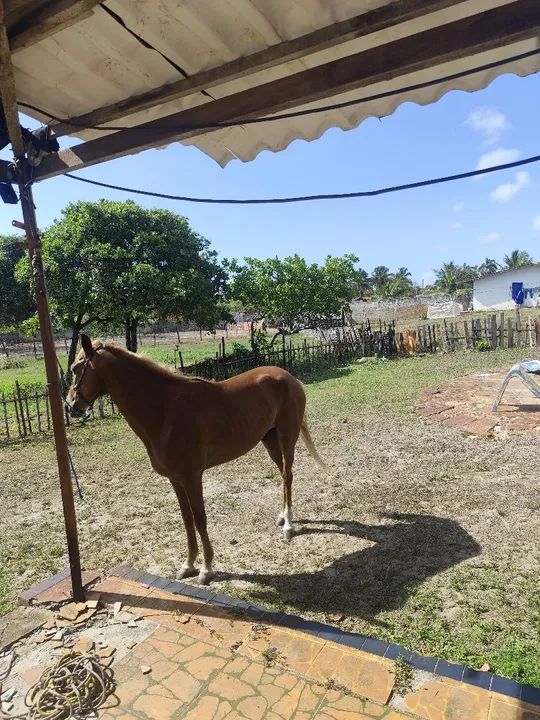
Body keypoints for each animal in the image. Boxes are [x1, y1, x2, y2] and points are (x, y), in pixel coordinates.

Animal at [66, 334, 326, 585]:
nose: (71, 406)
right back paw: (282, 517)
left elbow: (200, 520)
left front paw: (207, 569)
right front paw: (188, 565)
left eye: (77, 368)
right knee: (282, 475)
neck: (165, 410)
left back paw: (289, 524)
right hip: (269, 440)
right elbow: (187, 520)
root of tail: (289, 378)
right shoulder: (176, 479)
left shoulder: (192, 477)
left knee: (287, 475)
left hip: (286, 439)